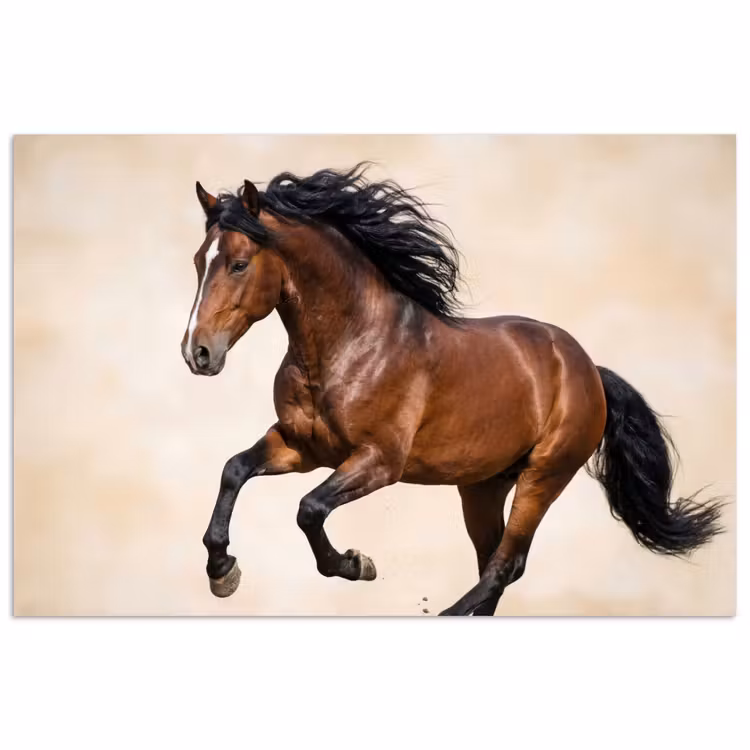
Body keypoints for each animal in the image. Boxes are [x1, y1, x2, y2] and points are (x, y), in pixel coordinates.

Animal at [181, 164, 723, 616]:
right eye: (198, 261)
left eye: (239, 264)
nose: (196, 352)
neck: (351, 344)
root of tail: (588, 368)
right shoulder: (302, 446)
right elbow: (234, 470)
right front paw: (222, 572)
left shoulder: (379, 461)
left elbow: (309, 509)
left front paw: (356, 564)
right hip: (482, 485)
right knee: (496, 563)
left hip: (545, 475)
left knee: (505, 565)